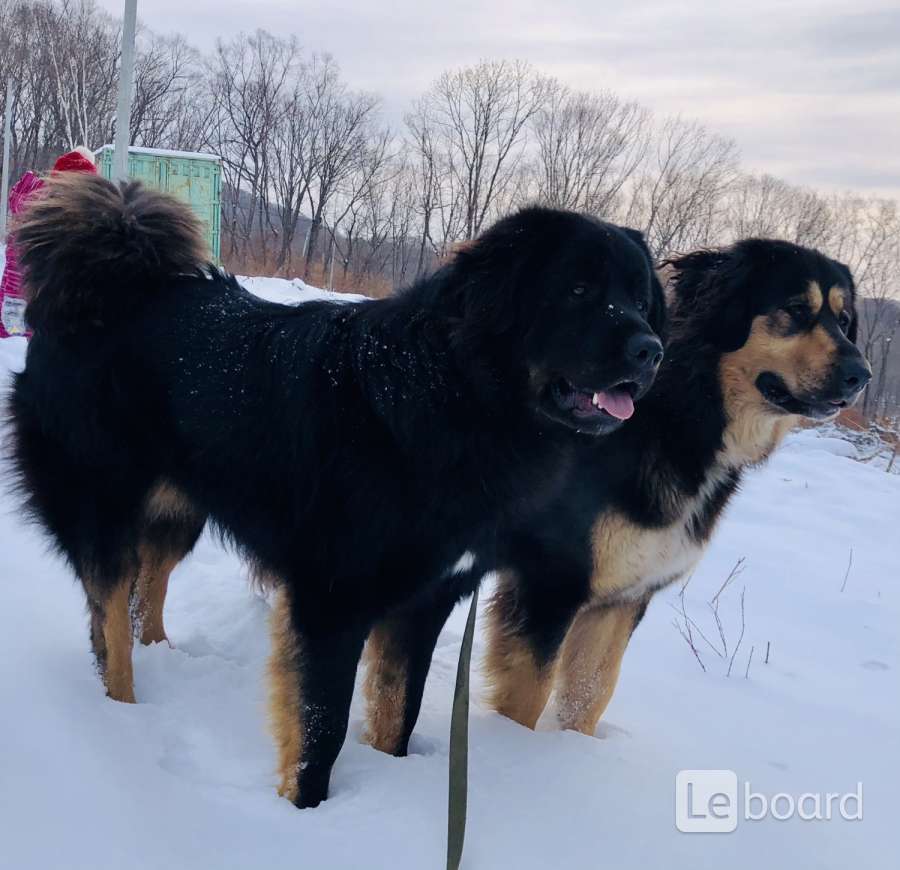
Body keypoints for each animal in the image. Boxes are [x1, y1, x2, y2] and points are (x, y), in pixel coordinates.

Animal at [8, 174, 668, 808]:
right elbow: (318, 732)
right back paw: (122, 718)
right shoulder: (330, 601)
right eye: (578, 290)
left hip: (178, 514)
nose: (652, 351)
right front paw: (304, 812)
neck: (450, 397)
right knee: (109, 628)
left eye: (641, 301)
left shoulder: (424, 600)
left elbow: (397, 713)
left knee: (146, 594)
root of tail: (106, 285)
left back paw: (162, 662)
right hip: (104, 512)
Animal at [486, 238, 872, 736]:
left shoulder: (627, 592)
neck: (681, 417)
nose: (860, 375)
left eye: (843, 321)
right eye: (795, 310)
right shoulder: (552, 583)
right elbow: (527, 701)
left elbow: (591, 692)